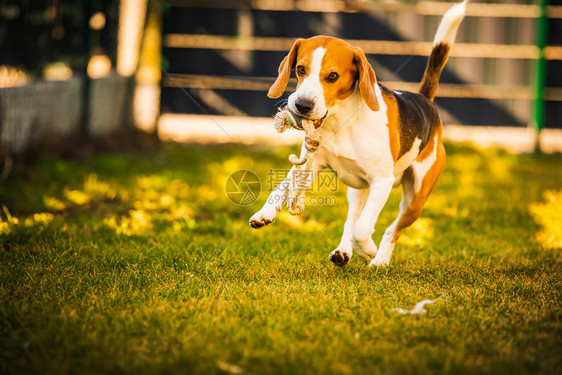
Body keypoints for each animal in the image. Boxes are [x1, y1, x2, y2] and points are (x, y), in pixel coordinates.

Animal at [252, 2, 466, 268]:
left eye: (333, 76)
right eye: (300, 69)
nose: (302, 105)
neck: (341, 123)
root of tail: (424, 100)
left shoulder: (381, 182)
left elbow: (363, 228)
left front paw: (368, 250)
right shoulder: (310, 168)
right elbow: (281, 187)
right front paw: (264, 212)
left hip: (415, 199)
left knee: (390, 229)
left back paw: (379, 259)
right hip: (358, 190)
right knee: (351, 220)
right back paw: (344, 251)